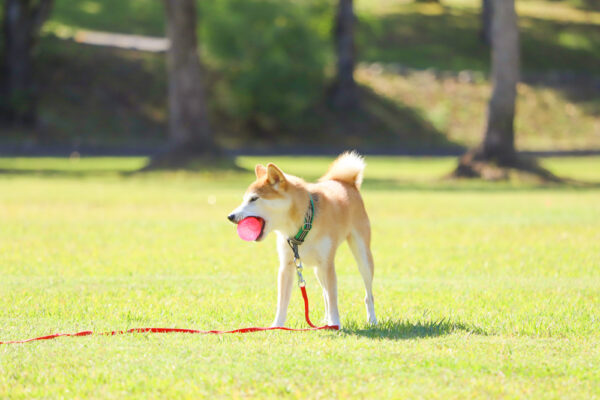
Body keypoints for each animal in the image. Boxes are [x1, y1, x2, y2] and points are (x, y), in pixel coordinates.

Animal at [227, 152, 378, 326]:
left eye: (253, 199)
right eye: (244, 199)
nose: (230, 216)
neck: (303, 225)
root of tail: (346, 182)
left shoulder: (327, 264)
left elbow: (333, 298)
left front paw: (335, 323)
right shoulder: (286, 265)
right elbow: (282, 302)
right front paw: (277, 326)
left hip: (362, 258)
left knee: (368, 294)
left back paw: (372, 319)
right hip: (318, 270)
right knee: (324, 294)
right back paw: (325, 320)